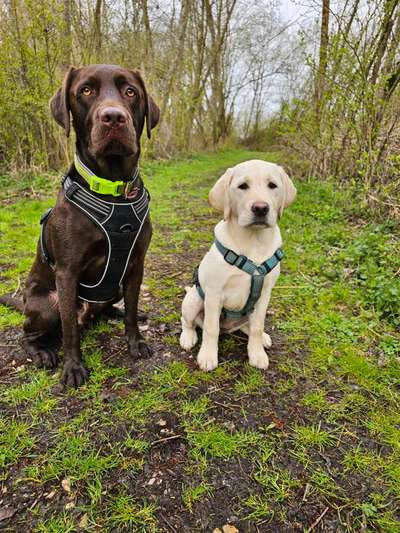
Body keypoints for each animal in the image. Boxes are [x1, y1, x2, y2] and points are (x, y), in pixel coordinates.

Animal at [0, 64, 159, 384]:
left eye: (130, 92)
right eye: (85, 90)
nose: (114, 117)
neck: (113, 190)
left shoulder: (137, 264)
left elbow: (133, 308)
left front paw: (135, 341)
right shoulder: (67, 272)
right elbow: (70, 331)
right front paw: (73, 367)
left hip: (114, 288)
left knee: (112, 307)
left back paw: (115, 313)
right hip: (46, 304)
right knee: (30, 334)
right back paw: (41, 352)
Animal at [180, 159, 296, 370]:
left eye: (272, 185)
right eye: (242, 186)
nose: (261, 208)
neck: (253, 242)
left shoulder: (265, 293)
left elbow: (258, 326)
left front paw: (257, 354)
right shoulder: (214, 293)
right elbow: (211, 328)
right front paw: (208, 356)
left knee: (249, 327)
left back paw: (262, 337)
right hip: (194, 299)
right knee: (188, 322)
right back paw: (188, 337)